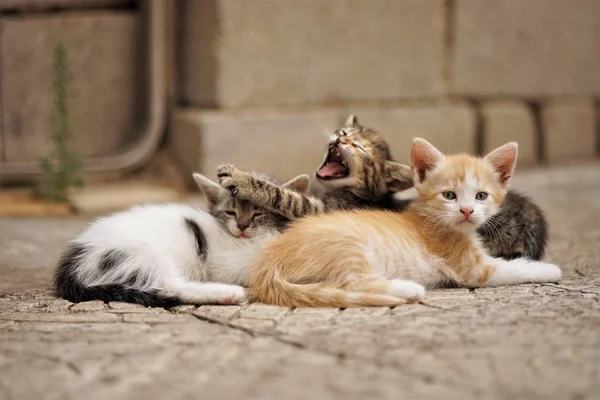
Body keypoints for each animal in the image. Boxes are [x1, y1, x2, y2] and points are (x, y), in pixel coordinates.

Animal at [52, 171, 310, 306]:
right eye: (231, 212)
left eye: (259, 213)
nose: (243, 226)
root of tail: (72, 264)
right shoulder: (225, 262)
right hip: (138, 255)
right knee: (171, 287)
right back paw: (227, 293)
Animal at [219, 114, 548, 260]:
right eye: (344, 132)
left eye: (360, 148)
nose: (340, 138)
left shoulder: (316, 210)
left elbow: (282, 195)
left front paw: (239, 177)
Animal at [247, 137, 564, 306]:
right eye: (449, 195)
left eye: (481, 196)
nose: (466, 211)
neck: (433, 218)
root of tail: (266, 265)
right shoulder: (473, 269)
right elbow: (511, 268)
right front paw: (549, 269)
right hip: (349, 248)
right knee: (350, 283)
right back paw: (407, 288)